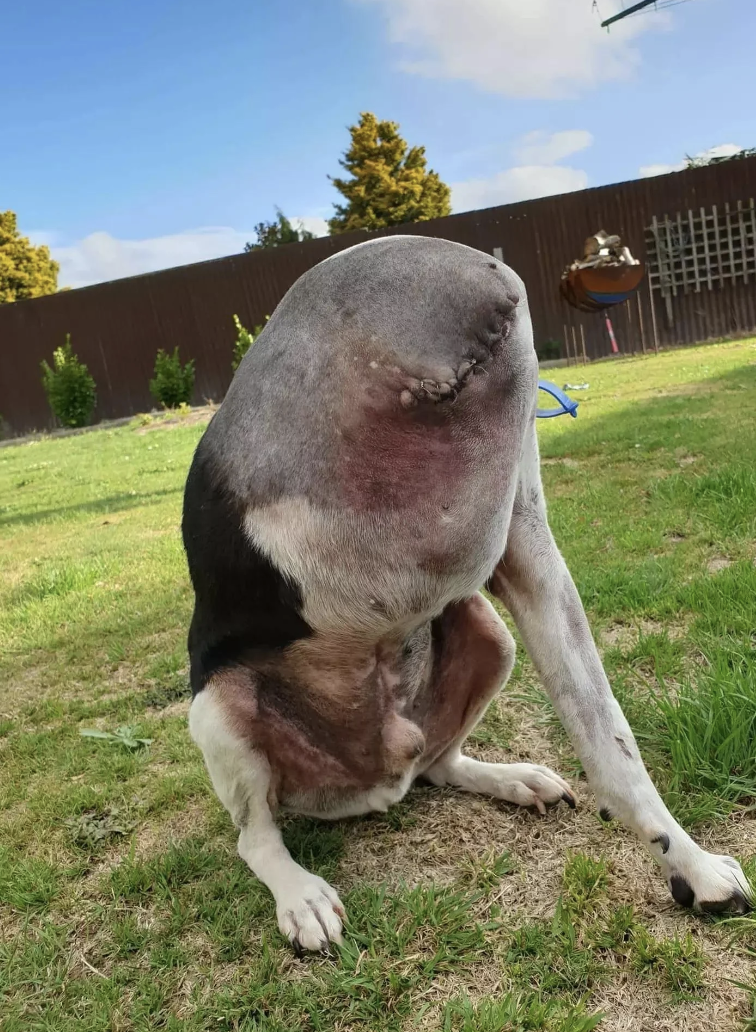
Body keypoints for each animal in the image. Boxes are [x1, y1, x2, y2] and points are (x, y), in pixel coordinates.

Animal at [181, 236, 750, 949]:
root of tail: (374, 788)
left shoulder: (527, 547)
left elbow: (611, 740)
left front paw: (691, 866)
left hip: (490, 636)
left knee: (437, 762)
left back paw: (510, 779)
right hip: (218, 706)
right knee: (256, 839)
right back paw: (299, 895)